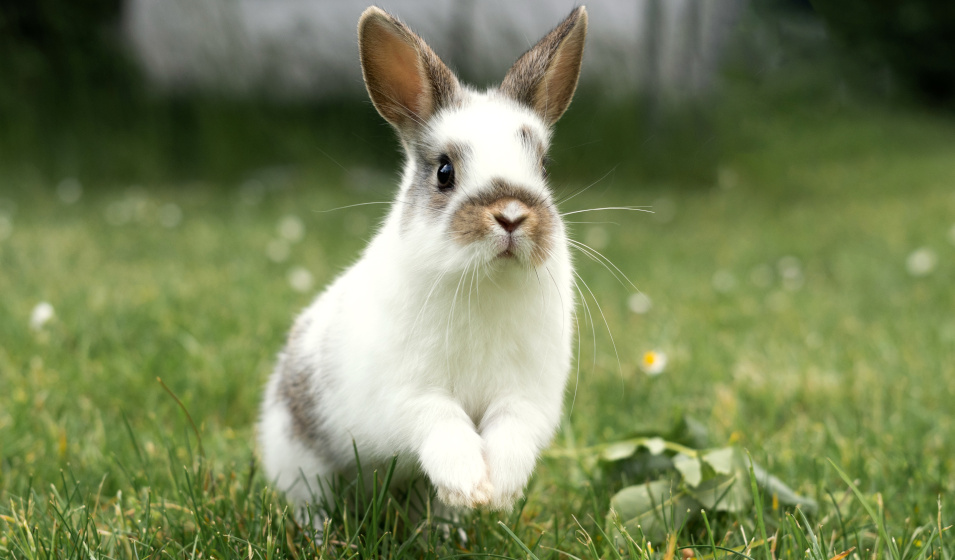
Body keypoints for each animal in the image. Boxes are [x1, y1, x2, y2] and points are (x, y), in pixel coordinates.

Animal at [258, 5, 587, 516]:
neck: (485, 282)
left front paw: (496, 492)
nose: (512, 216)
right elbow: (442, 422)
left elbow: (511, 433)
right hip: (300, 462)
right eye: (444, 171)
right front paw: (469, 484)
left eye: (544, 167)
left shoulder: (525, 397)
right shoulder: (408, 395)